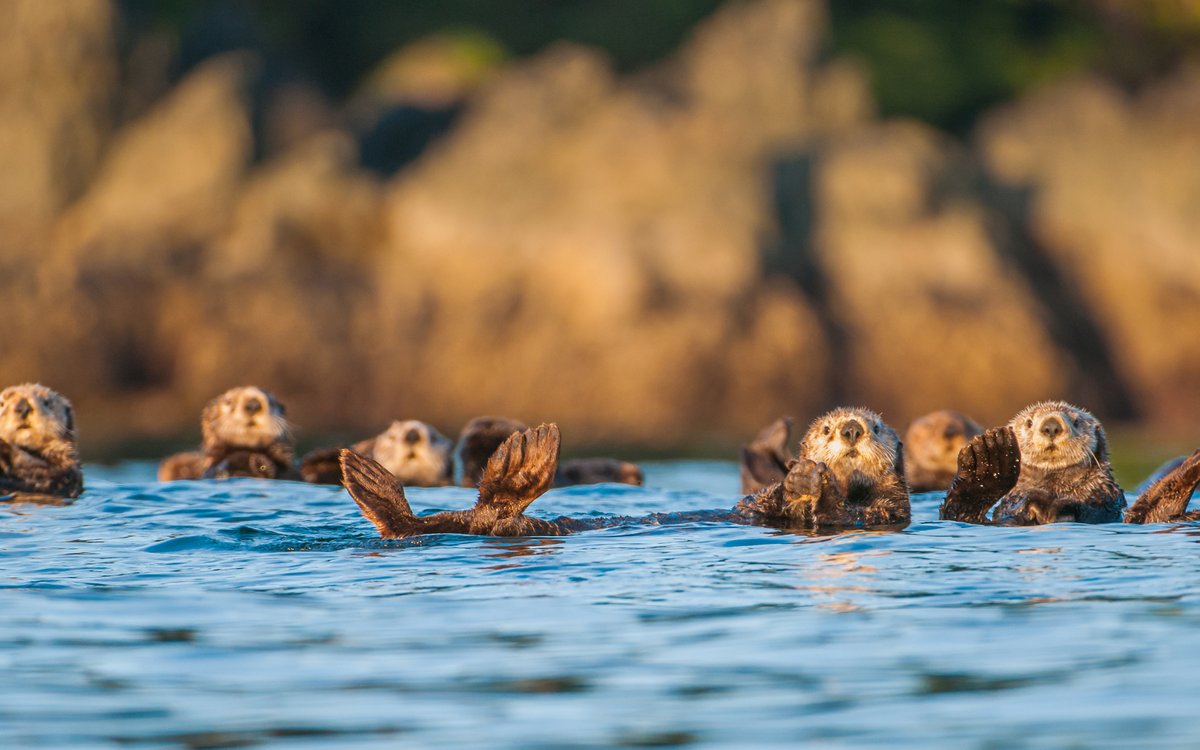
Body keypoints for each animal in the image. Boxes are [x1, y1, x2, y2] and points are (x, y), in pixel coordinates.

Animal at [939, 401, 1200, 525]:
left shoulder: (1104, 498)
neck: (1053, 486)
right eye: (1030, 422)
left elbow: (1090, 508)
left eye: (1076, 421)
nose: (1051, 425)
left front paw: (1050, 506)